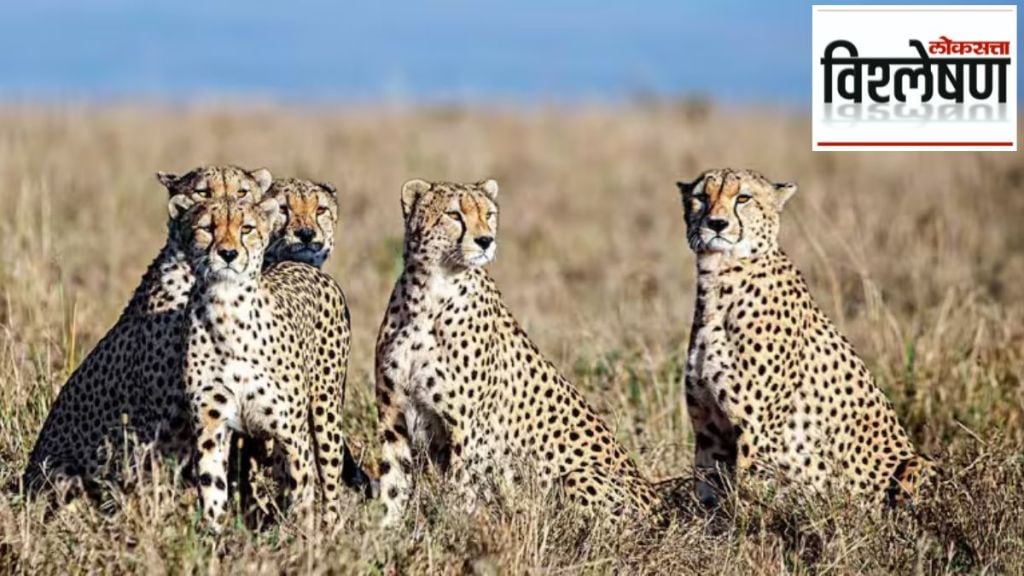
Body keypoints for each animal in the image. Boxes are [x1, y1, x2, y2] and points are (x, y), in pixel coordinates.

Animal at [182, 194, 358, 528]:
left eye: (247, 228)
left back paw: (331, 528)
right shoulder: (211, 427)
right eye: (207, 228)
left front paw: (304, 538)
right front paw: (214, 536)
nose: (227, 253)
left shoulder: (292, 433)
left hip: (325, 413)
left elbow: (302, 494)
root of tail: (299, 264)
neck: (227, 311)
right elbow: (213, 490)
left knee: (329, 482)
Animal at [376, 177, 663, 522]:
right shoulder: (393, 417)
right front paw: (384, 532)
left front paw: (454, 529)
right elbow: (392, 486)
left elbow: (459, 493)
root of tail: (660, 505)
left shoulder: (467, 431)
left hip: (577, 477)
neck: (428, 294)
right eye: (454, 214)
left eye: (488, 214)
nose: (485, 241)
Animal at [675, 167, 933, 506]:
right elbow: (708, 496)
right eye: (702, 197)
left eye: (743, 198)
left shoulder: (757, 437)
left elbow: (746, 503)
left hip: (918, 463)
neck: (719, 278)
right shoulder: (709, 433)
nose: (717, 224)